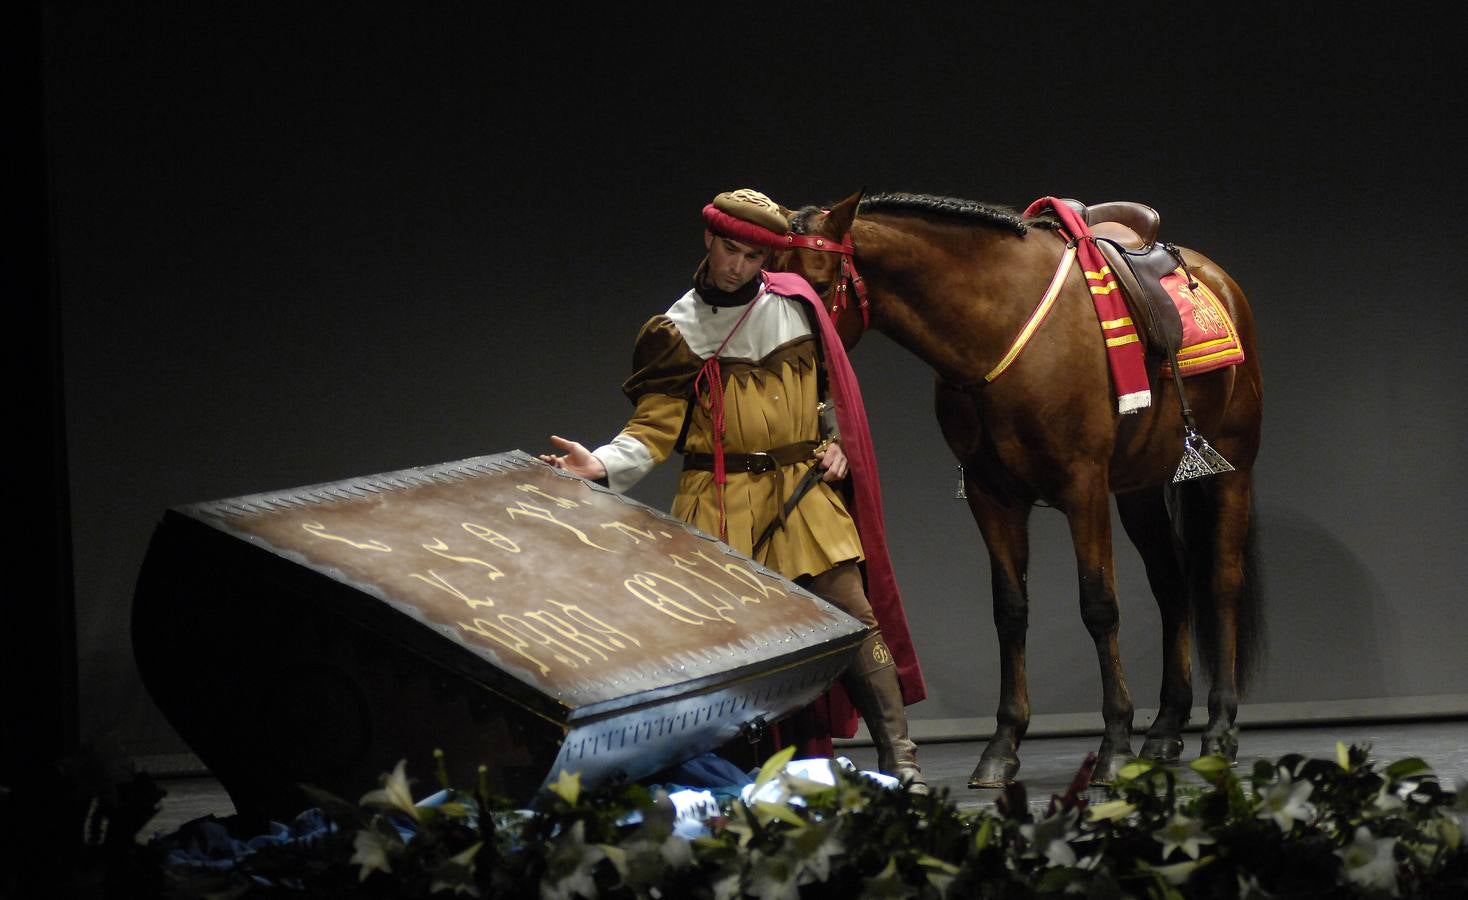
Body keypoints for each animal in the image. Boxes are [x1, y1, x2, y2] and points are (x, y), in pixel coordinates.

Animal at [775, 190, 1268, 786]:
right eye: (767, 278)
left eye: (820, 284)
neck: (1002, 321)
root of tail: (1217, 278)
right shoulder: (993, 497)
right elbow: (1010, 611)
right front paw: (1003, 743)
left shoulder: (1083, 487)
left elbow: (1099, 607)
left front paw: (1113, 742)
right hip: (1141, 488)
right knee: (1171, 584)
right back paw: (1166, 729)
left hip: (1231, 470)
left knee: (1221, 582)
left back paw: (1219, 727)